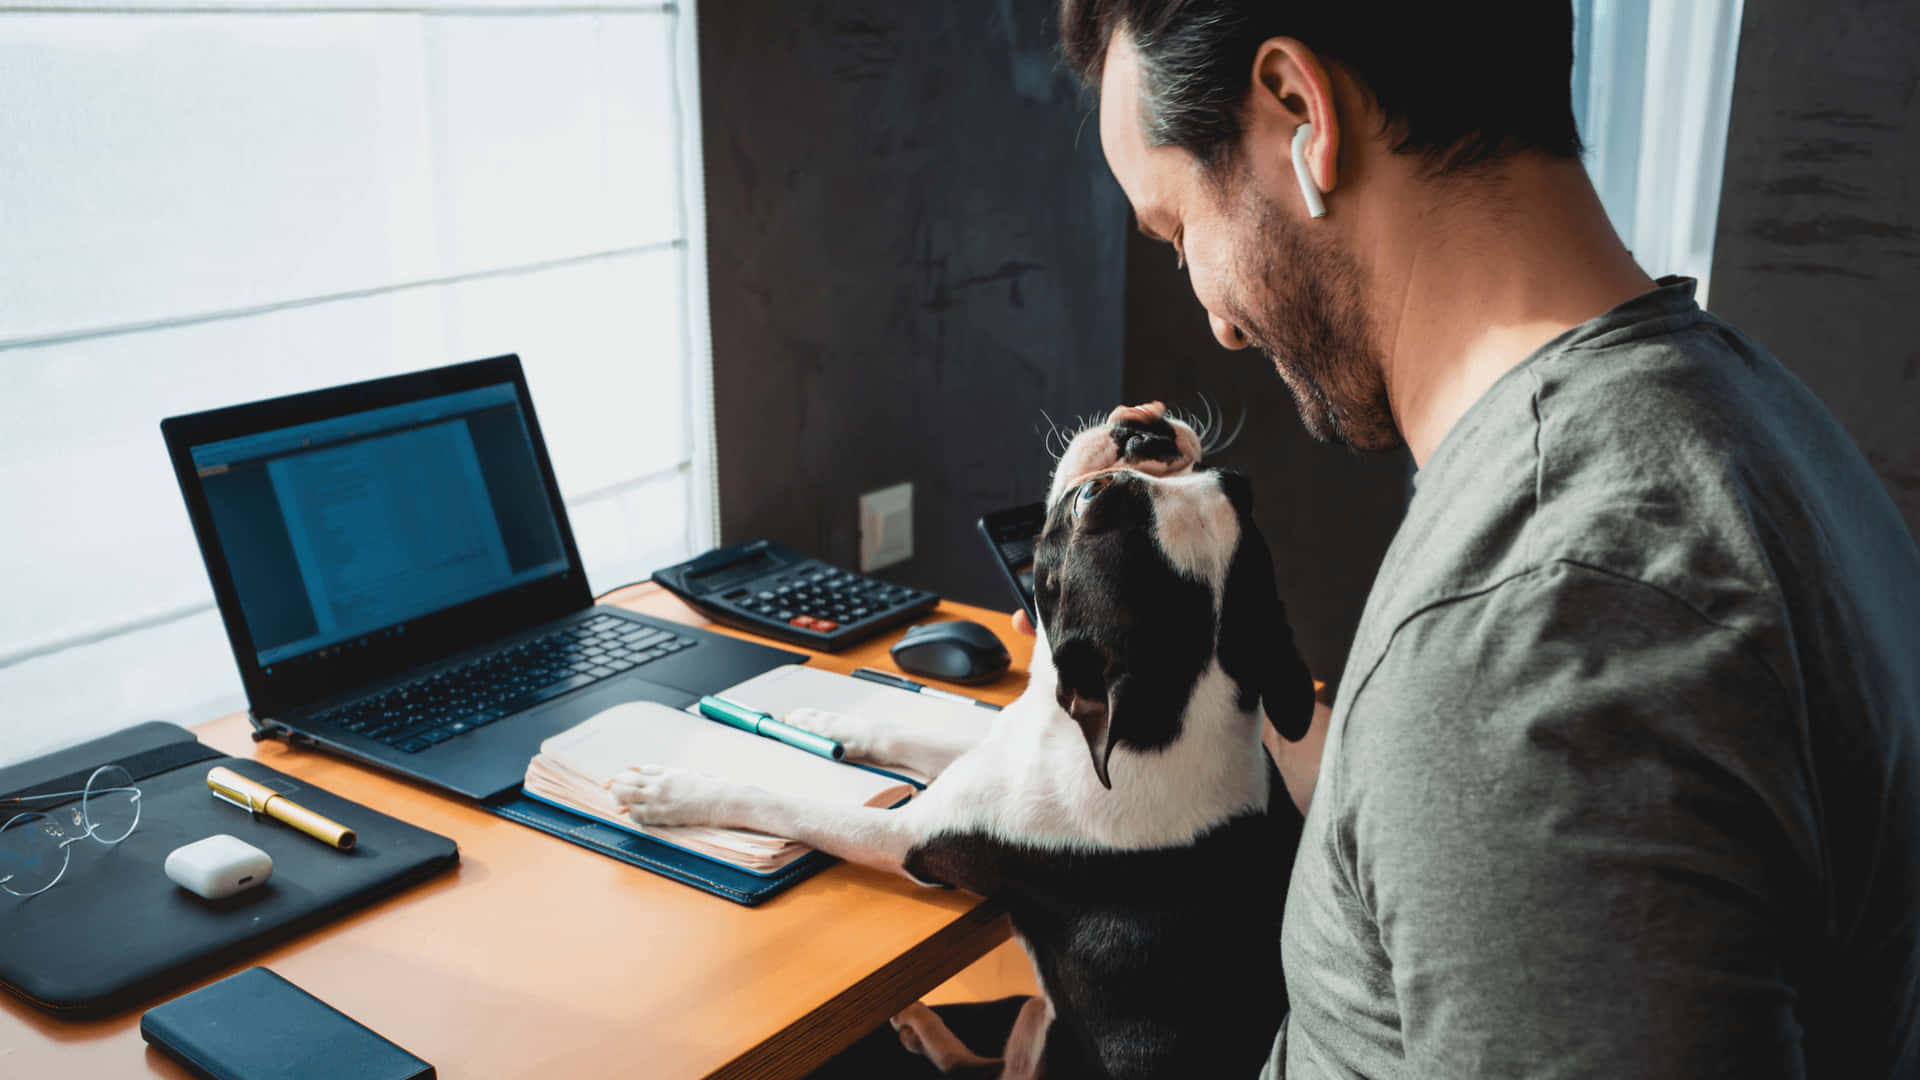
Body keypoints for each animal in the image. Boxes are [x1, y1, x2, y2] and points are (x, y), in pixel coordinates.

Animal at [622, 407, 1313, 1068]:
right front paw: (824, 724)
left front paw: (675, 790)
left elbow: (788, 804)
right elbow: (910, 735)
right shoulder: (999, 750)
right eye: (1229, 480)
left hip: (1045, 1035)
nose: (1146, 431)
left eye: (1089, 502)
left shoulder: (904, 835)